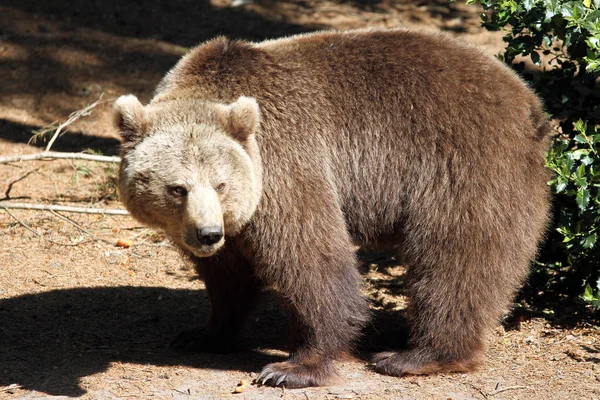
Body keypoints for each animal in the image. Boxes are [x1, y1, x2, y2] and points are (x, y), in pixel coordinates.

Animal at [112, 28, 548, 388]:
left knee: (456, 259)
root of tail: (528, 100)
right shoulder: (234, 223)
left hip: (463, 164)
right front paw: (203, 333)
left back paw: (415, 355)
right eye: (177, 188)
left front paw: (292, 367)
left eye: (221, 184)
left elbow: (310, 258)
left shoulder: (286, 163)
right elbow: (228, 277)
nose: (208, 234)